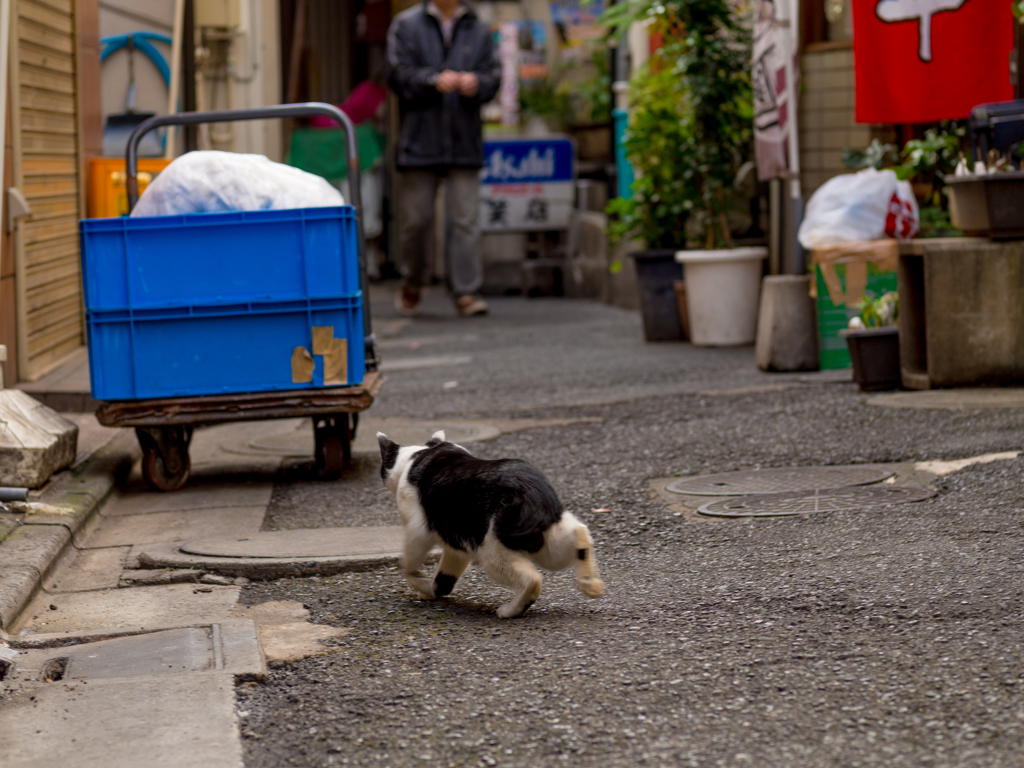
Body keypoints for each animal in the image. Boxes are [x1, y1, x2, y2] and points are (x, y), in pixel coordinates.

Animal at [376, 434, 602, 618]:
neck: (417, 456)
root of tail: (533, 492)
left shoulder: (418, 530)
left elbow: (409, 565)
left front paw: (421, 584)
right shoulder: (456, 546)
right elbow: (446, 576)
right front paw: (432, 591)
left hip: (490, 549)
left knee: (532, 579)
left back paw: (509, 611)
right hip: (546, 543)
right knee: (580, 532)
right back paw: (590, 583)